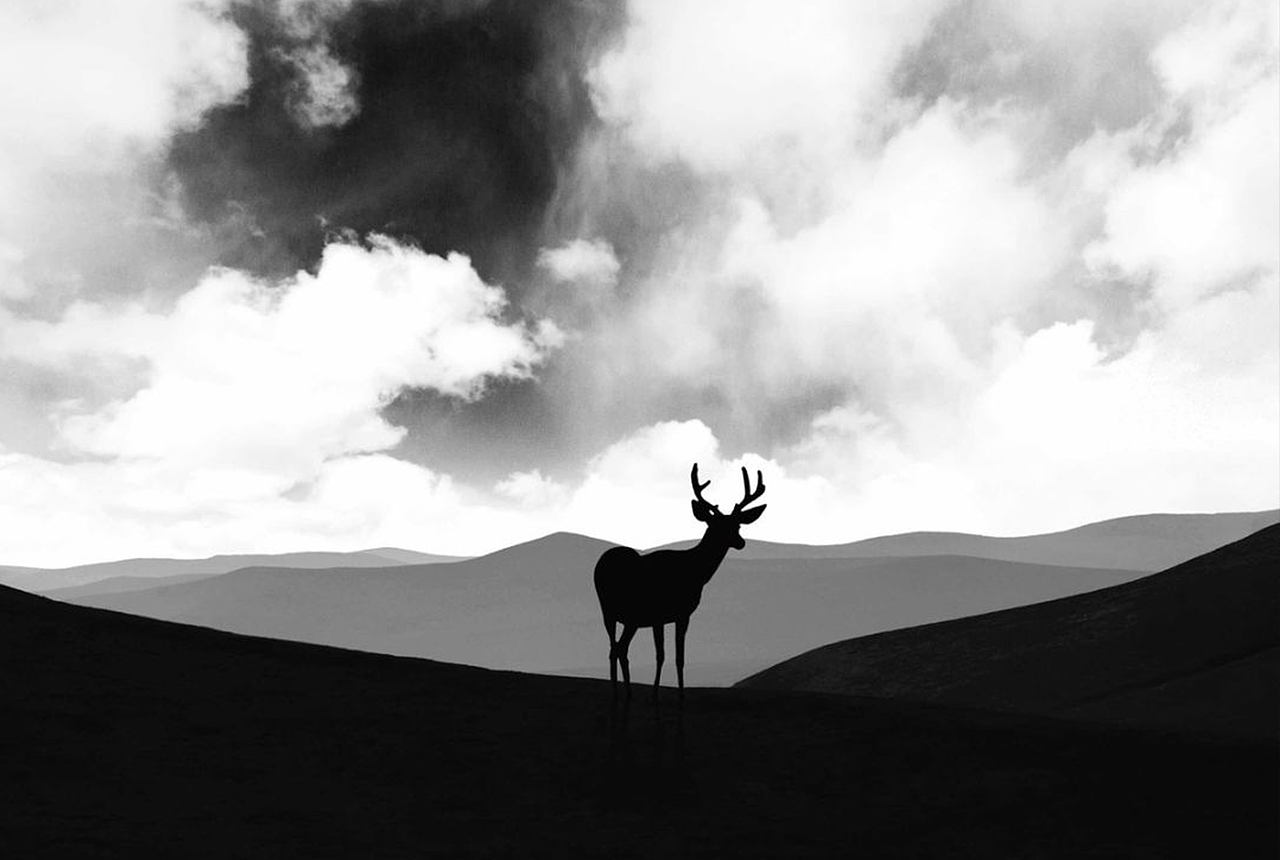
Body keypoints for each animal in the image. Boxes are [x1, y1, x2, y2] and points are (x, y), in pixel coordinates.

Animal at [593, 463, 767, 699]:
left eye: (737, 525)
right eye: (716, 525)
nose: (741, 543)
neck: (694, 572)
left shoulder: (672, 616)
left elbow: (674, 656)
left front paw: (670, 693)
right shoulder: (668, 613)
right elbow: (667, 655)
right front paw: (665, 694)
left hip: (623, 617)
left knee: (618, 648)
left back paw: (623, 693)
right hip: (616, 612)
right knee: (616, 648)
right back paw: (620, 693)